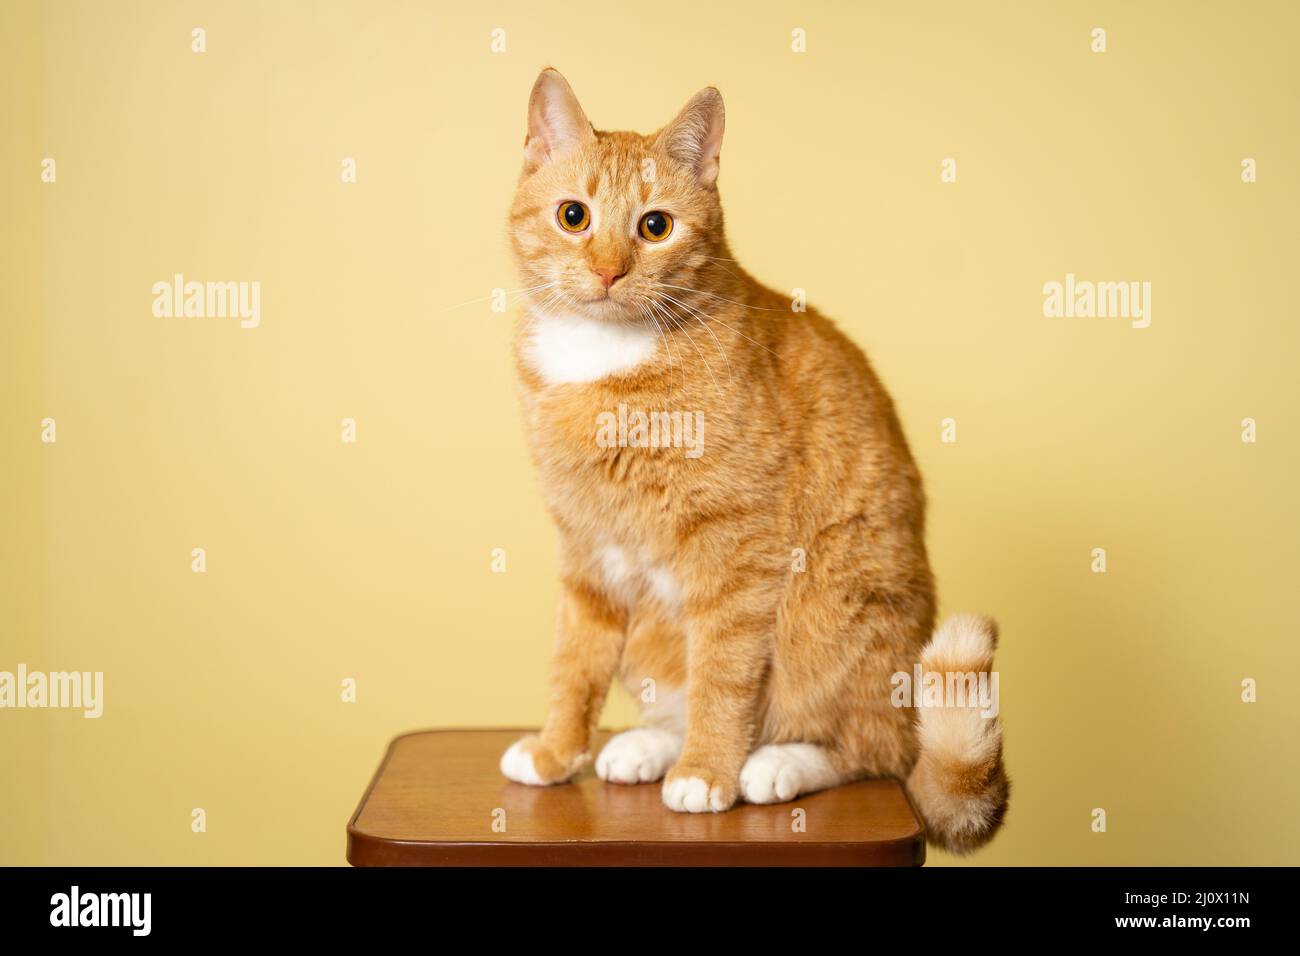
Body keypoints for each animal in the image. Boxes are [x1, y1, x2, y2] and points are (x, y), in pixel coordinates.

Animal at [496, 70, 1003, 858]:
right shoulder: (586, 546)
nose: (609, 270)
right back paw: (648, 747)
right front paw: (555, 752)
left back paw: (773, 764)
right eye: (573, 216)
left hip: (830, 612)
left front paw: (707, 773)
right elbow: (574, 662)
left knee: (869, 748)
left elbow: (723, 679)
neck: (602, 362)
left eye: (655, 227)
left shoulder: (735, 556)